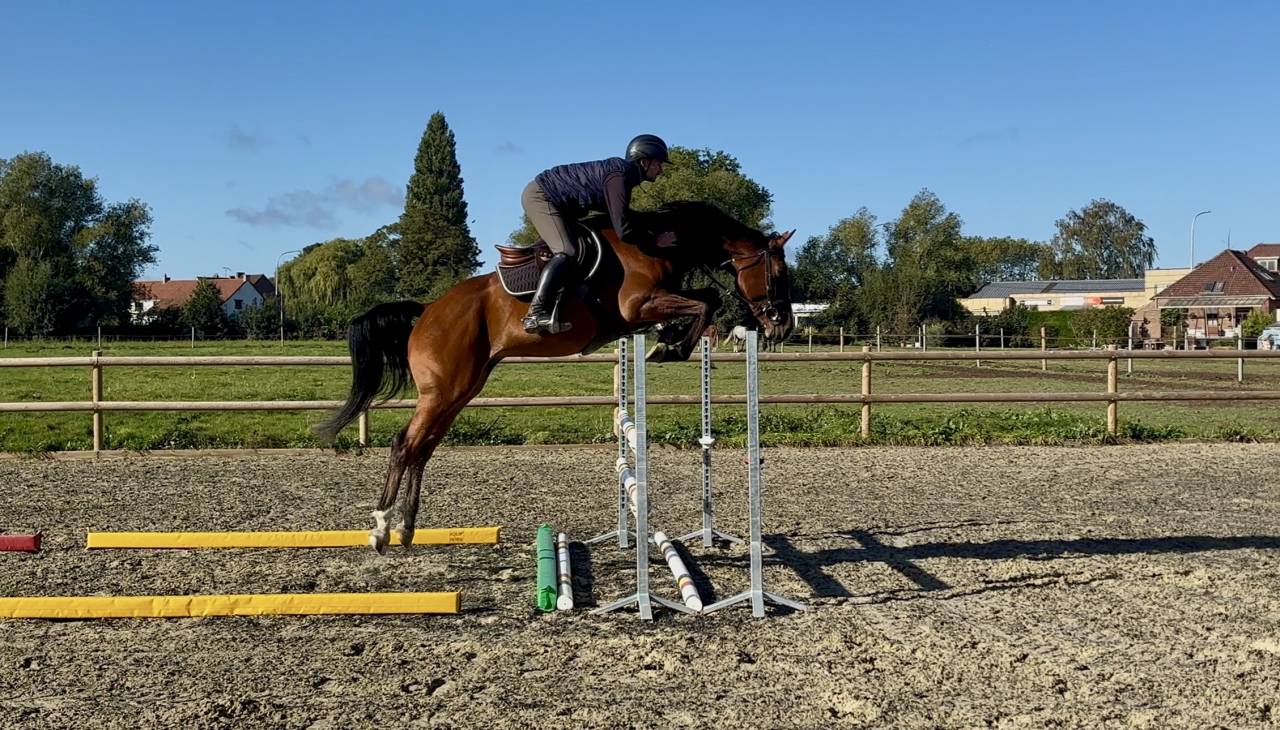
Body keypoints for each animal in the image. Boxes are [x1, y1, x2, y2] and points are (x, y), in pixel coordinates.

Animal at [316, 201, 795, 553]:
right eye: (778, 273)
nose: (782, 326)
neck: (657, 244)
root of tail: (427, 310)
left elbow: (707, 297)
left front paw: (670, 342)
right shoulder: (638, 306)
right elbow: (705, 302)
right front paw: (669, 346)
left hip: (460, 391)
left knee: (422, 449)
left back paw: (407, 528)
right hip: (444, 391)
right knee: (405, 444)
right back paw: (380, 528)